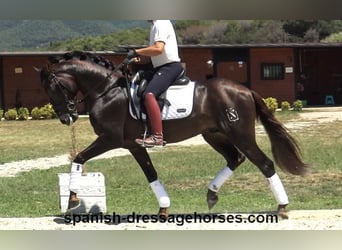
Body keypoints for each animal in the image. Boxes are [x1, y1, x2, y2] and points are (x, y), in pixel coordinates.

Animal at [38, 50, 308, 219]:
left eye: (53, 88)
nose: (67, 118)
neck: (106, 89)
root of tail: (244, 90)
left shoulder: (109, 139)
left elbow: (79, 159)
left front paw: (73, 199)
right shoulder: (134, 145)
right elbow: (151, 175)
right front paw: (164, 209)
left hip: (240, 134)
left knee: (264, 163)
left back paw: (282, 207)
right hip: (214, 135)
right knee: (235, 159)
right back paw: (211, 194)